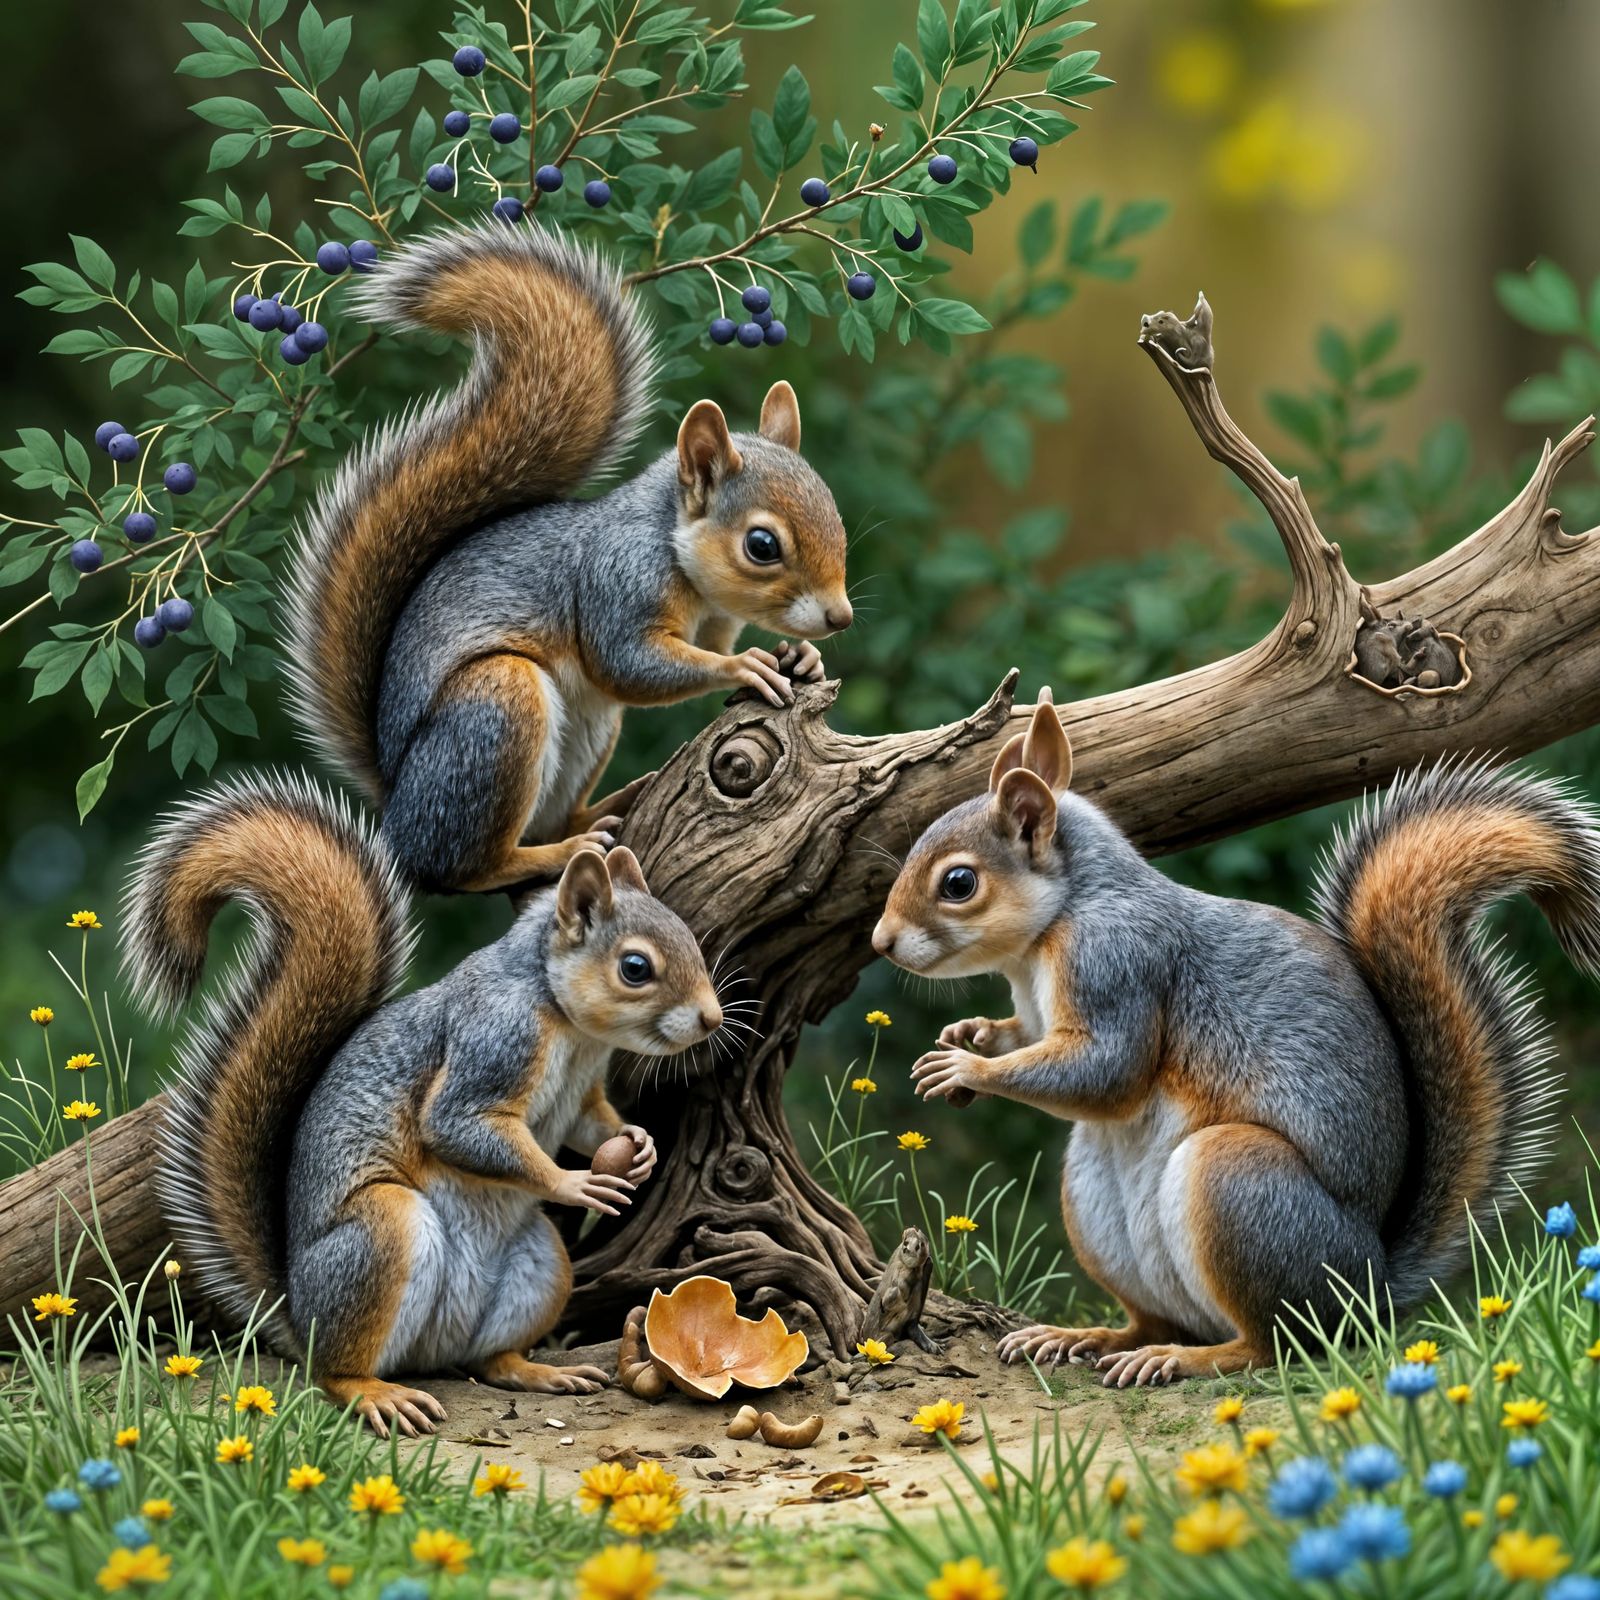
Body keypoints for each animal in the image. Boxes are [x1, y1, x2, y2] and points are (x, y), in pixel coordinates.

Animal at [122, 772, 724, 1437]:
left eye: (691, 937)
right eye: (635, 967)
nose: (713, 1019)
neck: (568, 1024)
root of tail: (300, 1319)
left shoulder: (584, 1089)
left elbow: (594, 1123)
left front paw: (639, 1147)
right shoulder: (494, 1040)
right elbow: (454, 1125)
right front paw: (573, 1183)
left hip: (543, 1262)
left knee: (490, 1360)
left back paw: (538, 1371)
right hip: (382, 1234)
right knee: (334, 1371)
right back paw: (374, 1392)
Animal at [282, 222, 853, 895]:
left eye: (837, 517)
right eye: (762, 546)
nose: (840, 618)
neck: (676, 555)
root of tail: (395, 801)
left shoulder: (713, 617)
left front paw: (802, 657)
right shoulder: (615, 579)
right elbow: (626, 662)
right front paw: (747, 666)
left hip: (590, 726)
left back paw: (603, 810)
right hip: (496, 710)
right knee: (454, 866)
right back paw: (549, 853)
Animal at [871, 693, 1600, 1385]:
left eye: (959, 882)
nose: (880, 943)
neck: (1051, 930)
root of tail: (1371, 1289)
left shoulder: (1119, 962)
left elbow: (1108, 1071)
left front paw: (965, 1069)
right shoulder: (1035, 1010)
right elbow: (1025, 1036)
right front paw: (969, 1035)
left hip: (1239, 1183)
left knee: (1278, 1342)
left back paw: (1186, 1360)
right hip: (1096, 1199)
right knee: (1156, 1319)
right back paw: (1087, 1337)